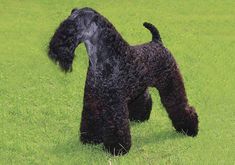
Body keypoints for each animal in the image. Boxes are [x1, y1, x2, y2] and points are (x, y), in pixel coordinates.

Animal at [47, 7, 198, 155]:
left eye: (73, 26)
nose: (54, 47)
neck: (107, 57)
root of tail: (157, 42)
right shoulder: (91, 99)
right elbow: (90, 119)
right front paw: (90, 140)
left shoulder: (114, 102)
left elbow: (116, 125)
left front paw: (116, 148)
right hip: (141, 87)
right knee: (145, 98)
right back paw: (140, 118)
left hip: (171, 84)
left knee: (181, 105)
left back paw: (189, 129)